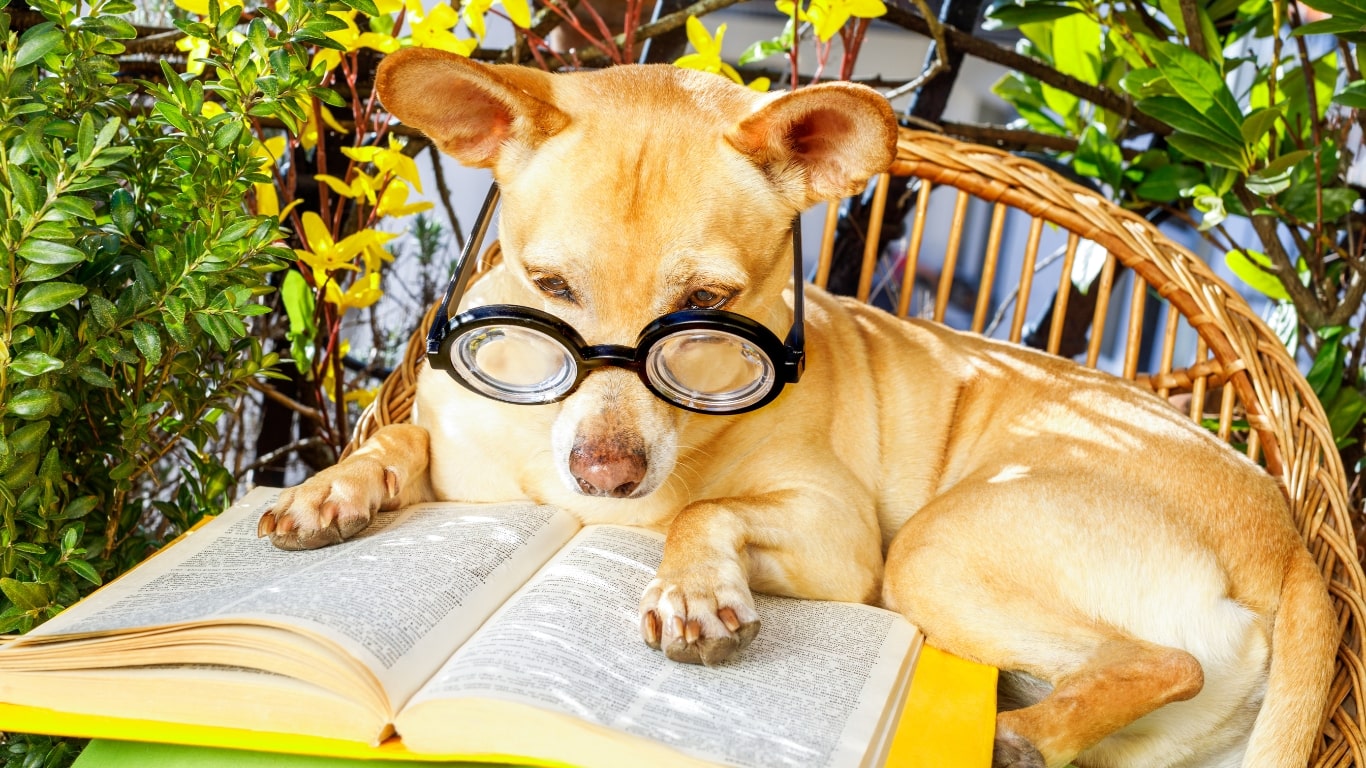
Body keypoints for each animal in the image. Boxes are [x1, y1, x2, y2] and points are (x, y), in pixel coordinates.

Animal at [256, 49, 1333, 765]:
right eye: (549, 286)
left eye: (707, 306)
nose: (604, 474)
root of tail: (1291, 552)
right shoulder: (462, 457)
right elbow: (398, 439)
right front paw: (331, 489)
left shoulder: (839, 541)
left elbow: (701, 509)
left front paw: (692, 589)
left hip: (928, 559)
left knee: (1163, 659)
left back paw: (1023, 735)